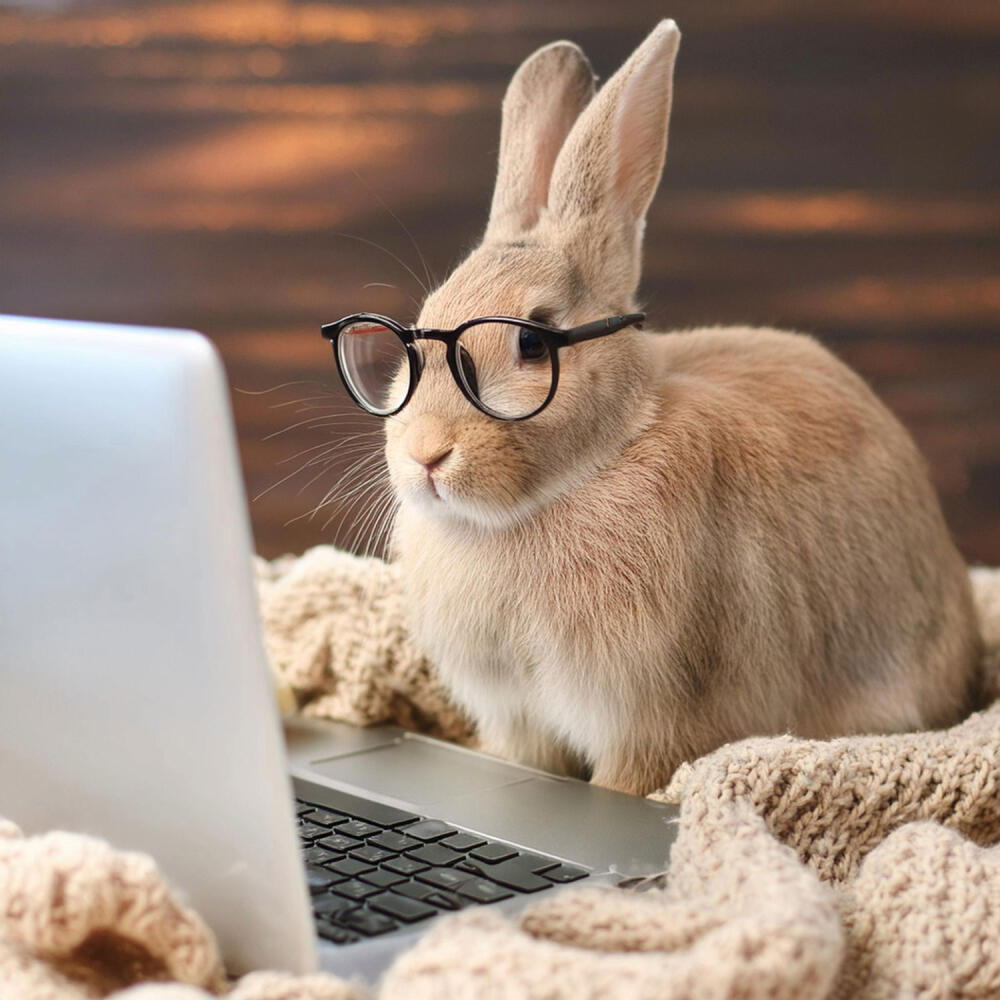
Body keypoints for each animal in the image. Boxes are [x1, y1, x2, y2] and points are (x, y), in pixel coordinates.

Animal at [380, 20, 984, 795]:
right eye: (419, 332)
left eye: (532, 343)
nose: (425, 455)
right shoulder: (520, 723)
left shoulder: (647, 722)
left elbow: (621, 783)